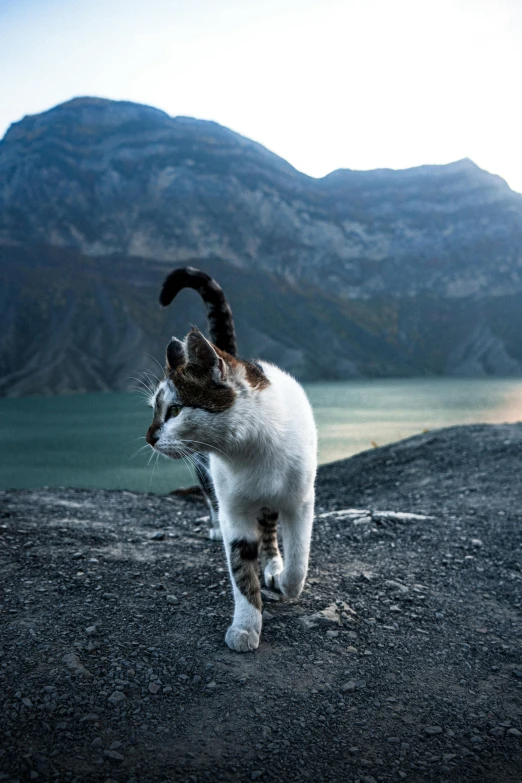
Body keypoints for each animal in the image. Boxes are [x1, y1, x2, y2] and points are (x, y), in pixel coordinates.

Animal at [146, 266, 316, 652]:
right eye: (154, 410)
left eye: (174, 410)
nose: (149, 437)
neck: (250, 450)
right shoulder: (234, 510)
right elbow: (240, 569)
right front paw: (246, 625)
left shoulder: (301, 500)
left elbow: (299, 556)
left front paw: (287, 582)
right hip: (205, 473)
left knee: (269, 530)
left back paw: (273, 564)